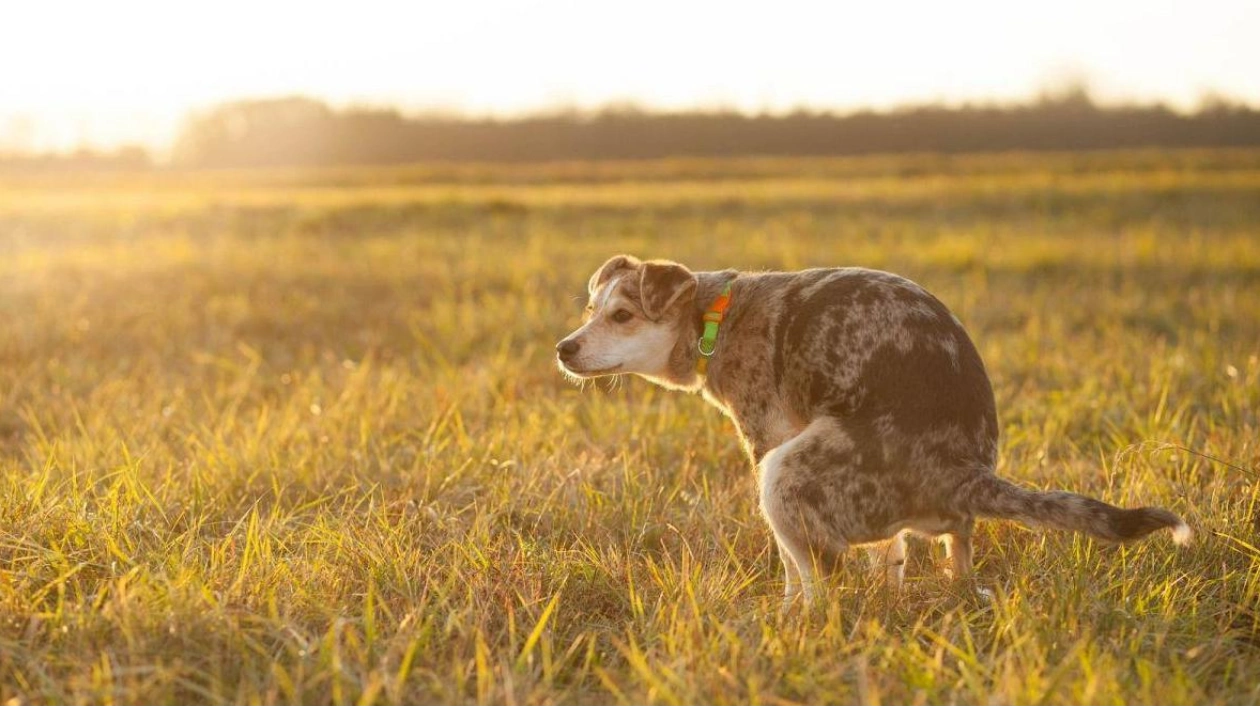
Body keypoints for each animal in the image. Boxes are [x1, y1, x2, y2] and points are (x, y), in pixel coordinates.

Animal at [554, 255, 1189, 604]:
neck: (715, 316)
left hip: (785, 473)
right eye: (589, 311)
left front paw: (786, 613)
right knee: (955, 550)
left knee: (824, 581)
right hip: (931, 519)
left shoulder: (767, 440)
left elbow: (792, 567)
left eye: (622, 316)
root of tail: (964, 471)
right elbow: (892, 555)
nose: (563, 348)